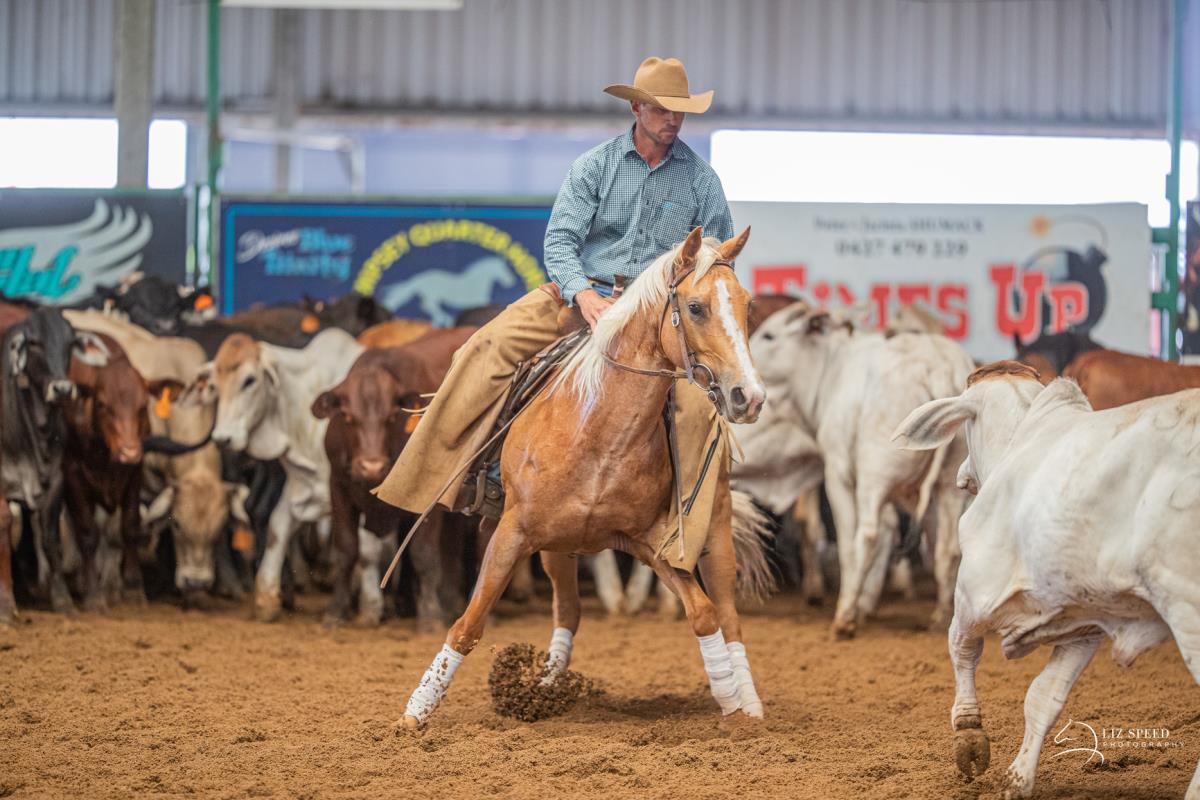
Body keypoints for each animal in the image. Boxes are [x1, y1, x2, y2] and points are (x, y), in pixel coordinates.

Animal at [184, 328, 364, 621]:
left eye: (250, 380)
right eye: (215, 386)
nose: (223, 438)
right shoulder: (303, 485)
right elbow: (277, 528)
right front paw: (267, 599)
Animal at [312, 327, 475, 625]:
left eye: (390, 417)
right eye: (348, 418)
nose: (371, 466)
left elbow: (424, 553)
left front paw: (431, 616)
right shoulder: (338, 487)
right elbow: (346, 549)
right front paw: (335, 611)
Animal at [399, 226, 771, 729]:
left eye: (747, 305)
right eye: (695, 307)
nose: (749, 396)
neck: (600, 434)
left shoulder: (648, 542)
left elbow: (705, 613)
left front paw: (730, 698)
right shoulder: (513, 531)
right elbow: (469, 623)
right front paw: (417, 710)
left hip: (715, 527)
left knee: (729, 613)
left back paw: (750, 701)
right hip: (555, 545)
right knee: (569, 611)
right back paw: (545, 685)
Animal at [740, 303, 975, 635]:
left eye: (769, 335)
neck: (830, 372)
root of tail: (937, 368)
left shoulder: (838, 475)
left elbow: (851, 545)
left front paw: (855, 607)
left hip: (874, 476)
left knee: (867, 536)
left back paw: (845, 616)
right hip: (947, 483)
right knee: (947, 548)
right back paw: (940, 617)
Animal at [893, 361, 1200, 800]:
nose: (962, 474)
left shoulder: (973, 593)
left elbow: (962, 649)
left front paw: (968, 736)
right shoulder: (1086, 624)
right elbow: (1044, 697)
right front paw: (1017, 780)